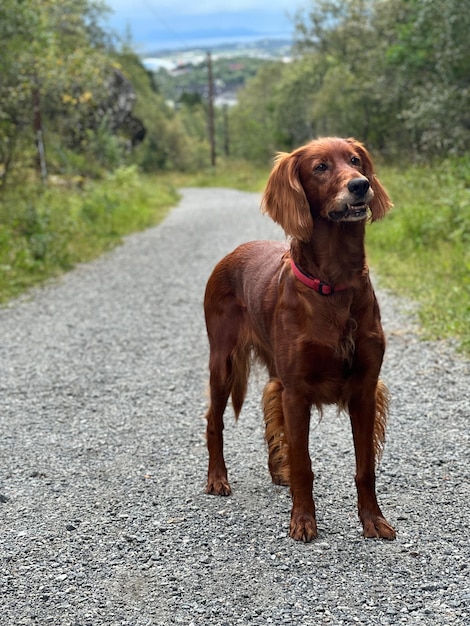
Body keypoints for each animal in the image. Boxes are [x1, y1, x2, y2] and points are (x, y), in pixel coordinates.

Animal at [204, 138, 394, 540]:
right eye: (320, 167)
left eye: (355, 160)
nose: (360, 186)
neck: (334, 285)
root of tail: (233, 252)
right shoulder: (297, 391)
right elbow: (304, 462)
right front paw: (303, 521)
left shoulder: (365, 388)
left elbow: (365, 466)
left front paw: (373, 520)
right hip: (223, 361)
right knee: (214, 419)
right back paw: (217, 479)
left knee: (268, 408)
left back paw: (279, 472)